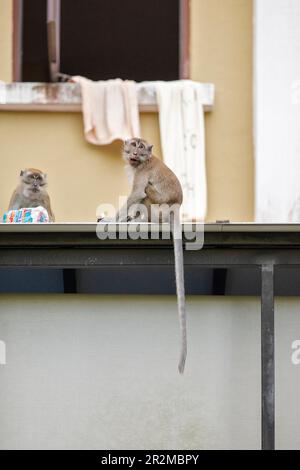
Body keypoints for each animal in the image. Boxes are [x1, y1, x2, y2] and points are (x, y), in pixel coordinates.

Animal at [116, 138, 186, 372]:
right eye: (133, 145)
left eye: (140, 147)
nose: (135, 152)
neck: (140, 163)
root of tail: (176, 208)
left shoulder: (142, 172)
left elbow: (138, 193)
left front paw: (112, 219)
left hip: (158, 210)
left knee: (146, 192)